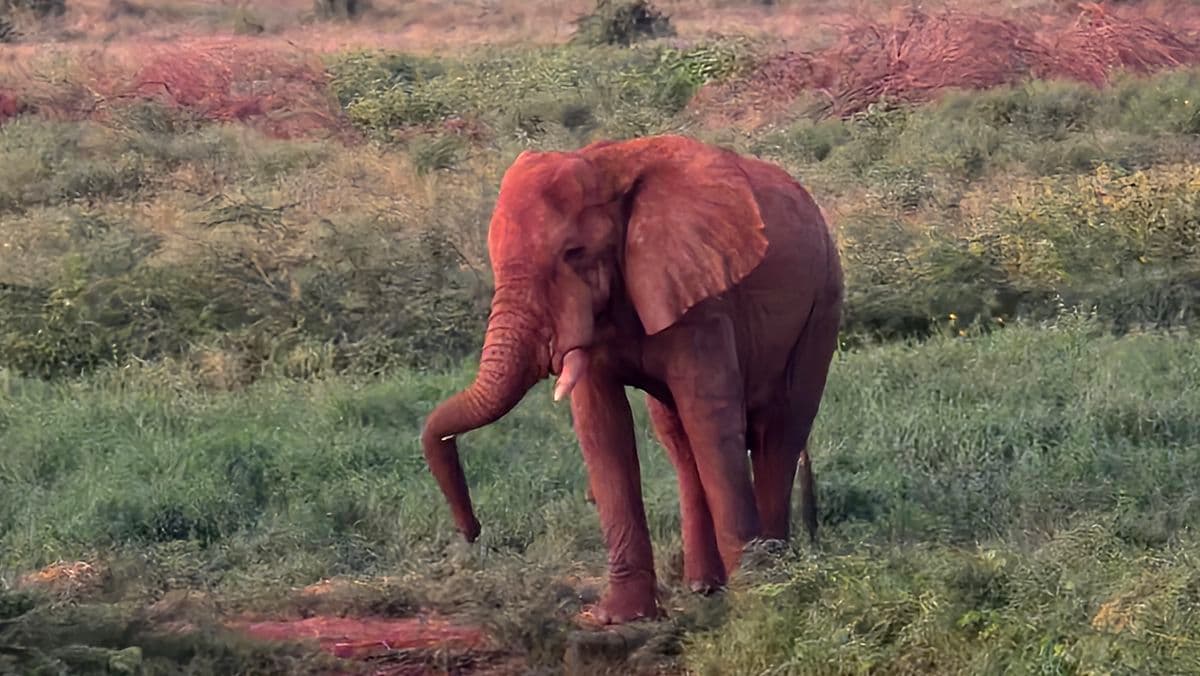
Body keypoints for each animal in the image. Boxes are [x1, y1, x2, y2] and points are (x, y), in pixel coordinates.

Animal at [420, 134, 844, 624]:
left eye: (574, 254)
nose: (471, 532)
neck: (604, 168)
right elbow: (602, 427)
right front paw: (619, 617)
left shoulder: (702, 297)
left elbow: (711, 420)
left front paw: (758, 600)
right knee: (679, 438)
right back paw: (705, 587)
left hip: (824, 300)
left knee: (781, 429)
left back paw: (776, 575)